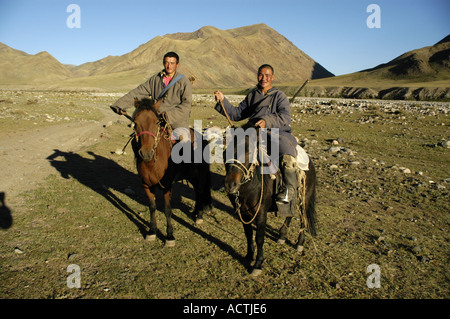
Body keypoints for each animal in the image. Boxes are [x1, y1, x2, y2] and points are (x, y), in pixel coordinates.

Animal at [128, 97, 211, 248]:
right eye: (135, 123)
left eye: (156, 122)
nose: (146, 153)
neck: (153, 162)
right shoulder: (146, 185)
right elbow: (152, 207)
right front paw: (152, 231)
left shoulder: (167, 186)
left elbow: (167, 210)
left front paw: (170, 236)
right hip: (192, 176)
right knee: (197, 191)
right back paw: (195, 213)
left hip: (201, 175)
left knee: (201, 192)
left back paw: (199, 216)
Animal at [224, 124, 316, 276]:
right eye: (226, 151)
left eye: (249, 152)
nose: (231, 185)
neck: (251, 185)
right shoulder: (243, 213)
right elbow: (248, 234)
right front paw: (249, 255)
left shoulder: (261, 213)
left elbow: (259, 238)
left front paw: (257, 264)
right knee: (290, 213)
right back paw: (282, 236)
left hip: (305, 198)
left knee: (304, 219)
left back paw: (300, 243)